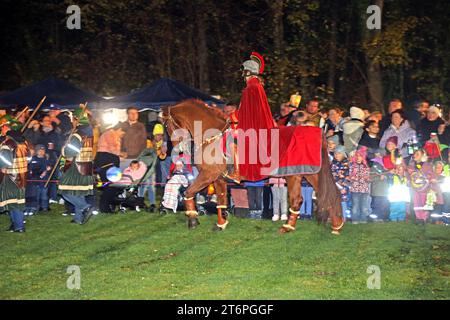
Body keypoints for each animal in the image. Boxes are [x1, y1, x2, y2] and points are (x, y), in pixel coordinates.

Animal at [162, 99, 344, 234]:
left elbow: (188, 192)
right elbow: (221, 200)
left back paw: (287, 227)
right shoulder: (219, 179)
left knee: (299, 199)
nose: (177, 149)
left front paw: (192, 219)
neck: (212, 136)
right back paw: (335, 224)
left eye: (166, 126)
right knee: (325, 194)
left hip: (294, 176)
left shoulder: (208, 175)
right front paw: (221, 224)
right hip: (309, 174)